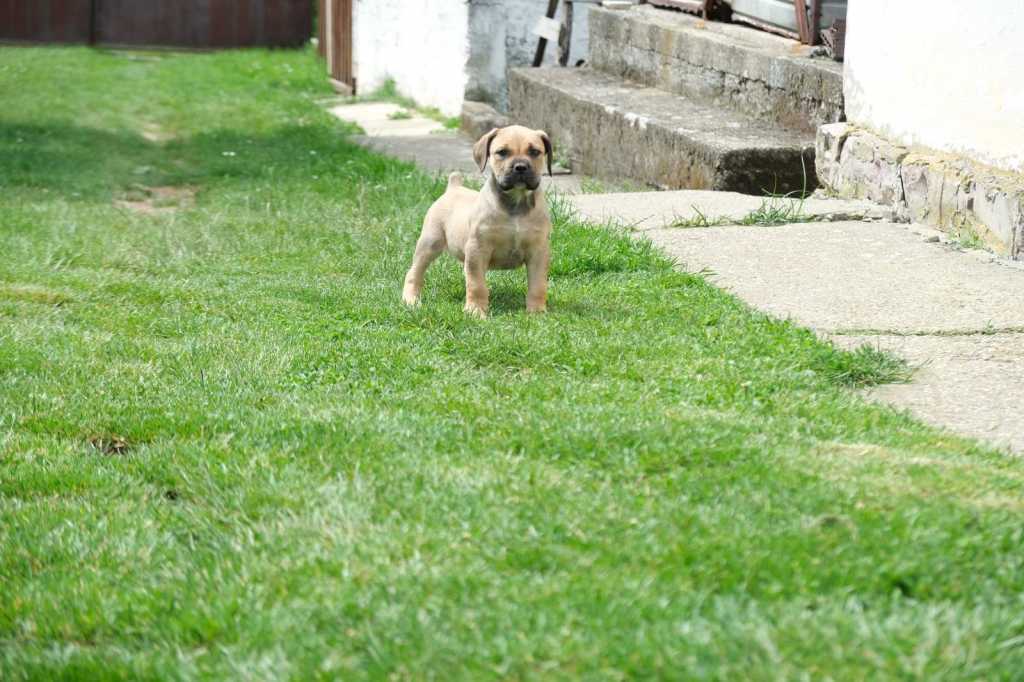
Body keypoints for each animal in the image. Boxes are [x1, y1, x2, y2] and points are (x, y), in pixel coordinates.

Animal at [403, 124, 557, 315]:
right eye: (502, 152)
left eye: (534, 152)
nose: (520, 167)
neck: (515, 202)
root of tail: (454, 186)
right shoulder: (478, 249)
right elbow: (477, 284)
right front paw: (475, 311)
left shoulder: (538, 252)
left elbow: (538, 285)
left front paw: (536, 312)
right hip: (430, 243)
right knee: (414, 272)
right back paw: (411, 300)